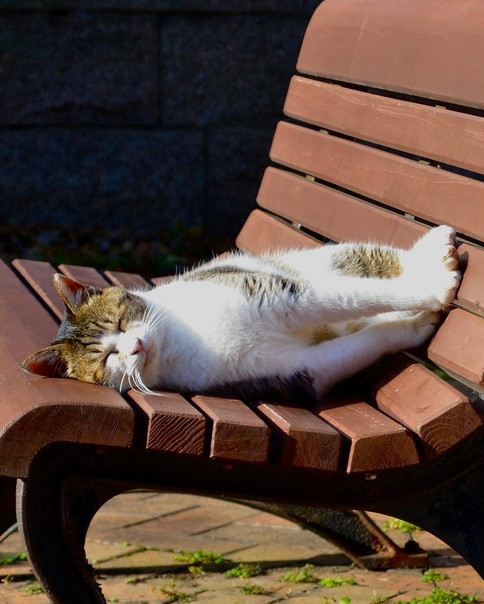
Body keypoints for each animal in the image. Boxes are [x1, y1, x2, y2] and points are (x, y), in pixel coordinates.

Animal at [22, 225, 461, 401]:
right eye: (106, 358)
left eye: (119, 321)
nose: (134, 346)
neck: (180, 342)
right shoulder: (299, 369)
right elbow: (363, 344)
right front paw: (413, 326)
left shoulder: (284, 293)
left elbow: (357, 294)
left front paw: (433, 290)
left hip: (313, 263)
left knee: (371, 261)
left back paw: (435, 252)